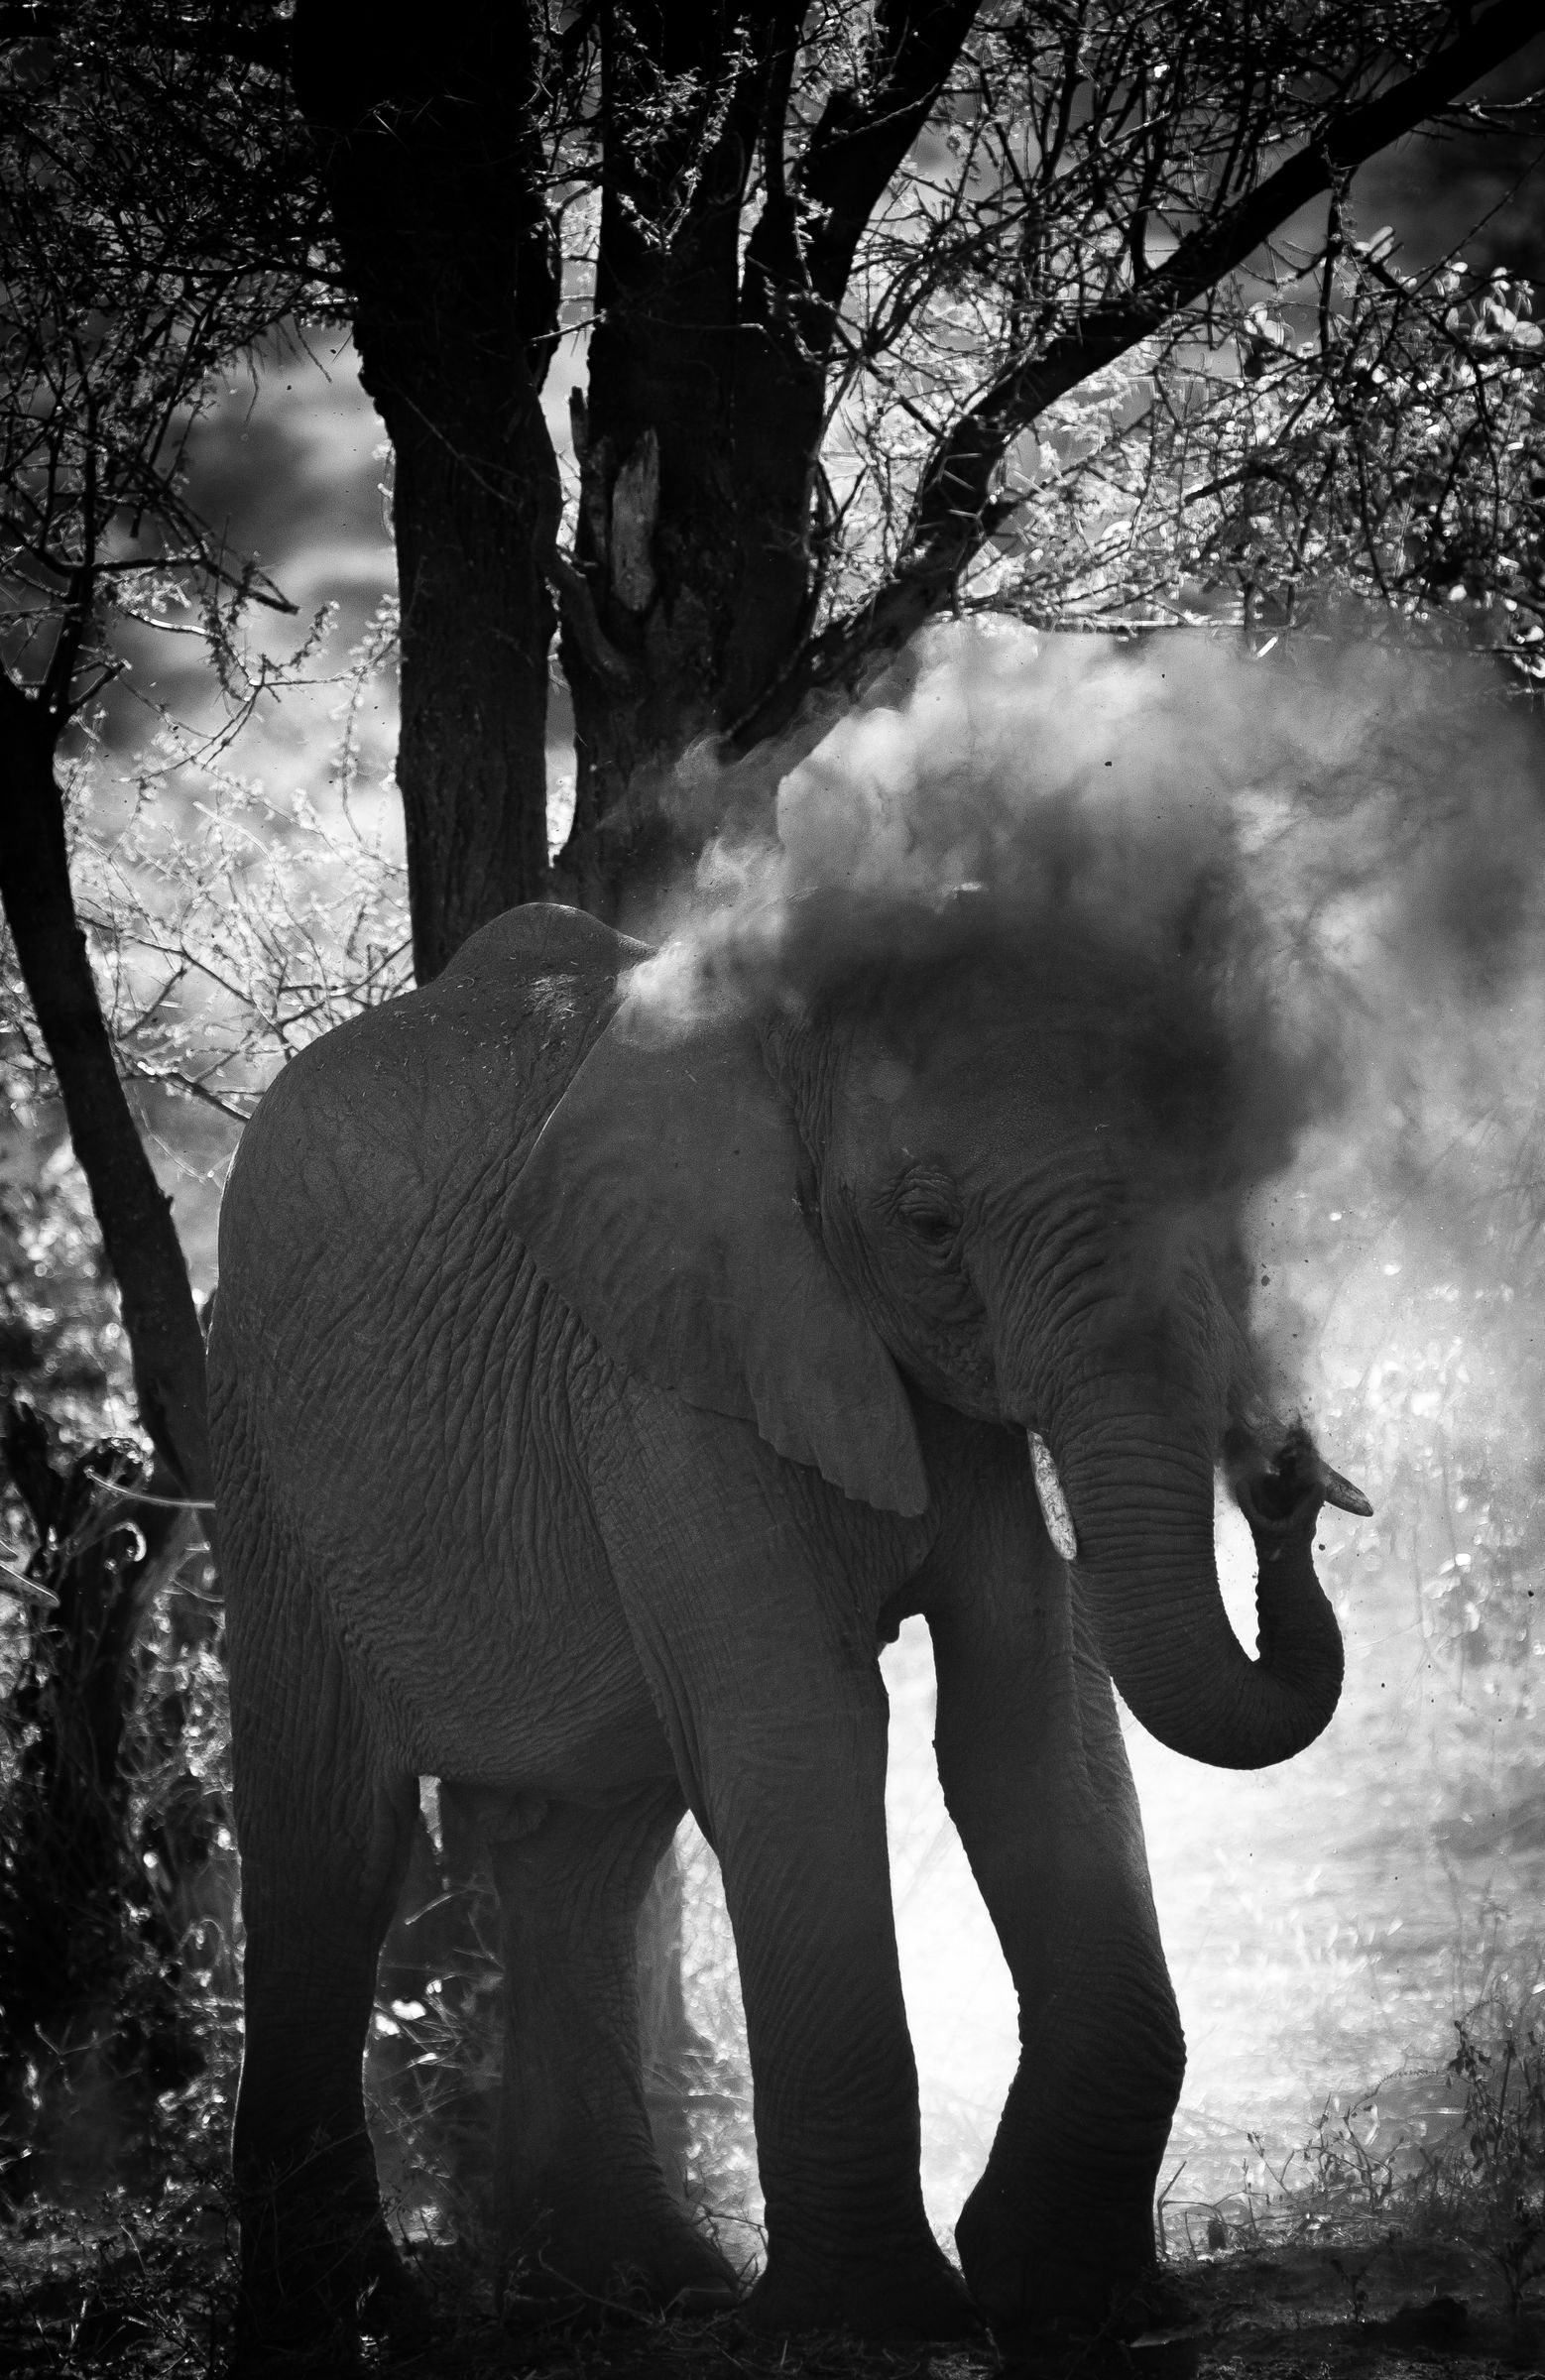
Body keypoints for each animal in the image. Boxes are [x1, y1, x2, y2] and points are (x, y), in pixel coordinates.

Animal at [207, 894, 1366, 2361]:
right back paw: (349, 2322)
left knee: (587, 1848)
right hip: (258, 1443)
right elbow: (804, 1736)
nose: (1285, 1472)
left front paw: (1064, 2295)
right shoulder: (660, 1361)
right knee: (332, 1841)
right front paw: (876, 2330)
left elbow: (1032, 1724)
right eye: (929, 1227)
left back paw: (638, 2295)